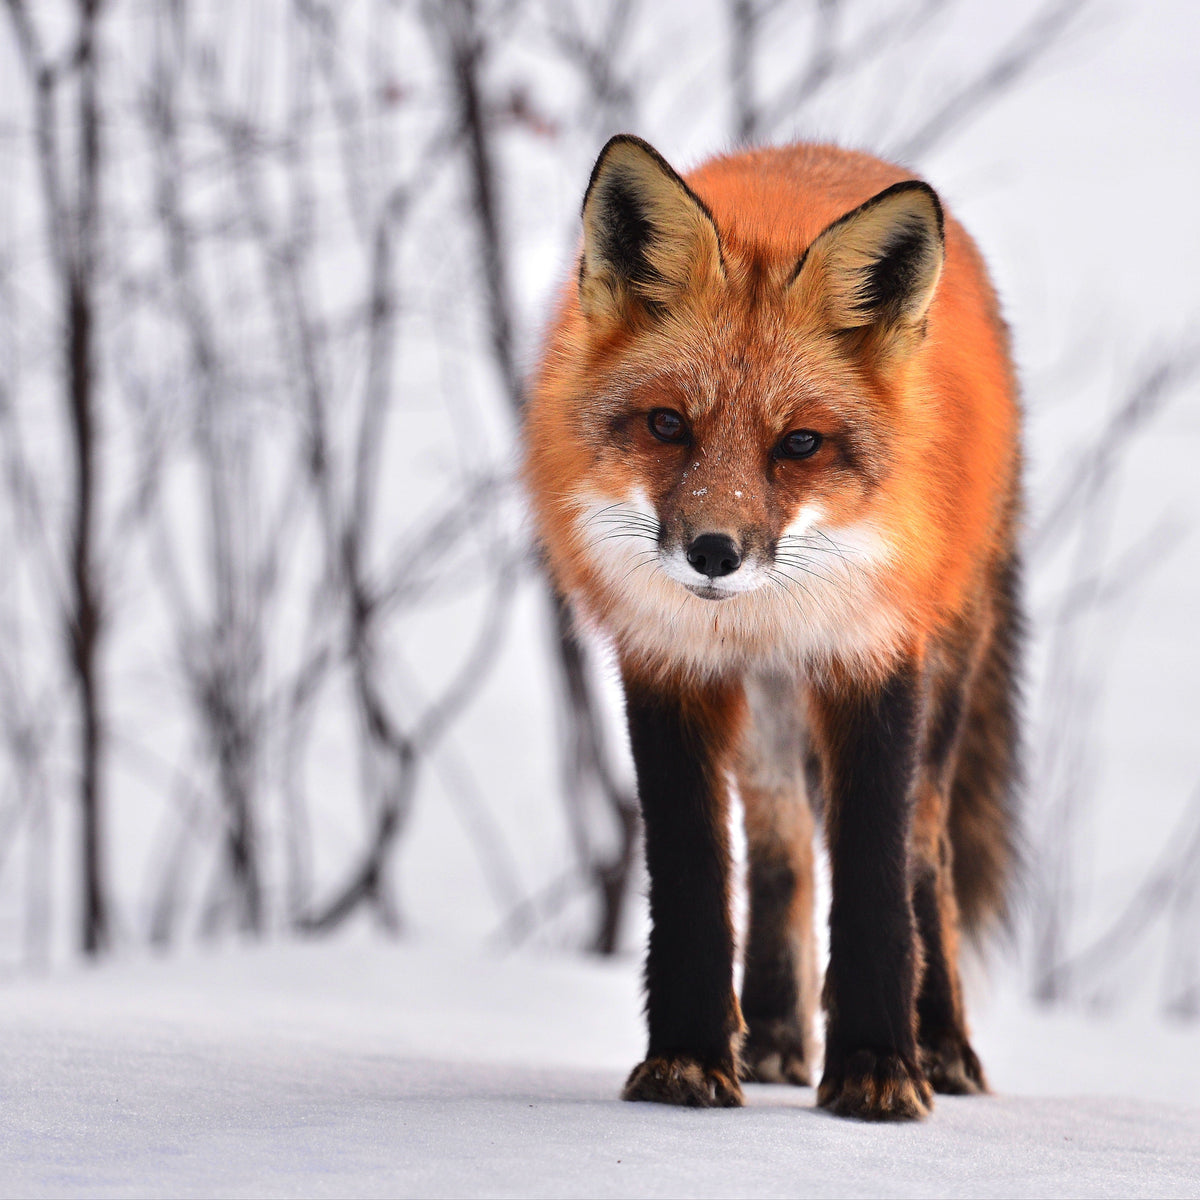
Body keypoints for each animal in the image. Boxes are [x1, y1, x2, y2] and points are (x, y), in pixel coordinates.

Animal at [523, 135, 1022, 1121]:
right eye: (668, 424)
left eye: (799, 444)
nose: (714, 552)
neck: (762, 613)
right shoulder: (669, 665)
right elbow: (694, 878)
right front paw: (686, 1058)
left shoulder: (873, 659)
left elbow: (873, 881)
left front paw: (877, 1066)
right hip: (766, 717)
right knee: (782, 850)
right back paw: (777, 1036)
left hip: (943, 673)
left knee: (926, 854)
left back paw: (942, 1044)